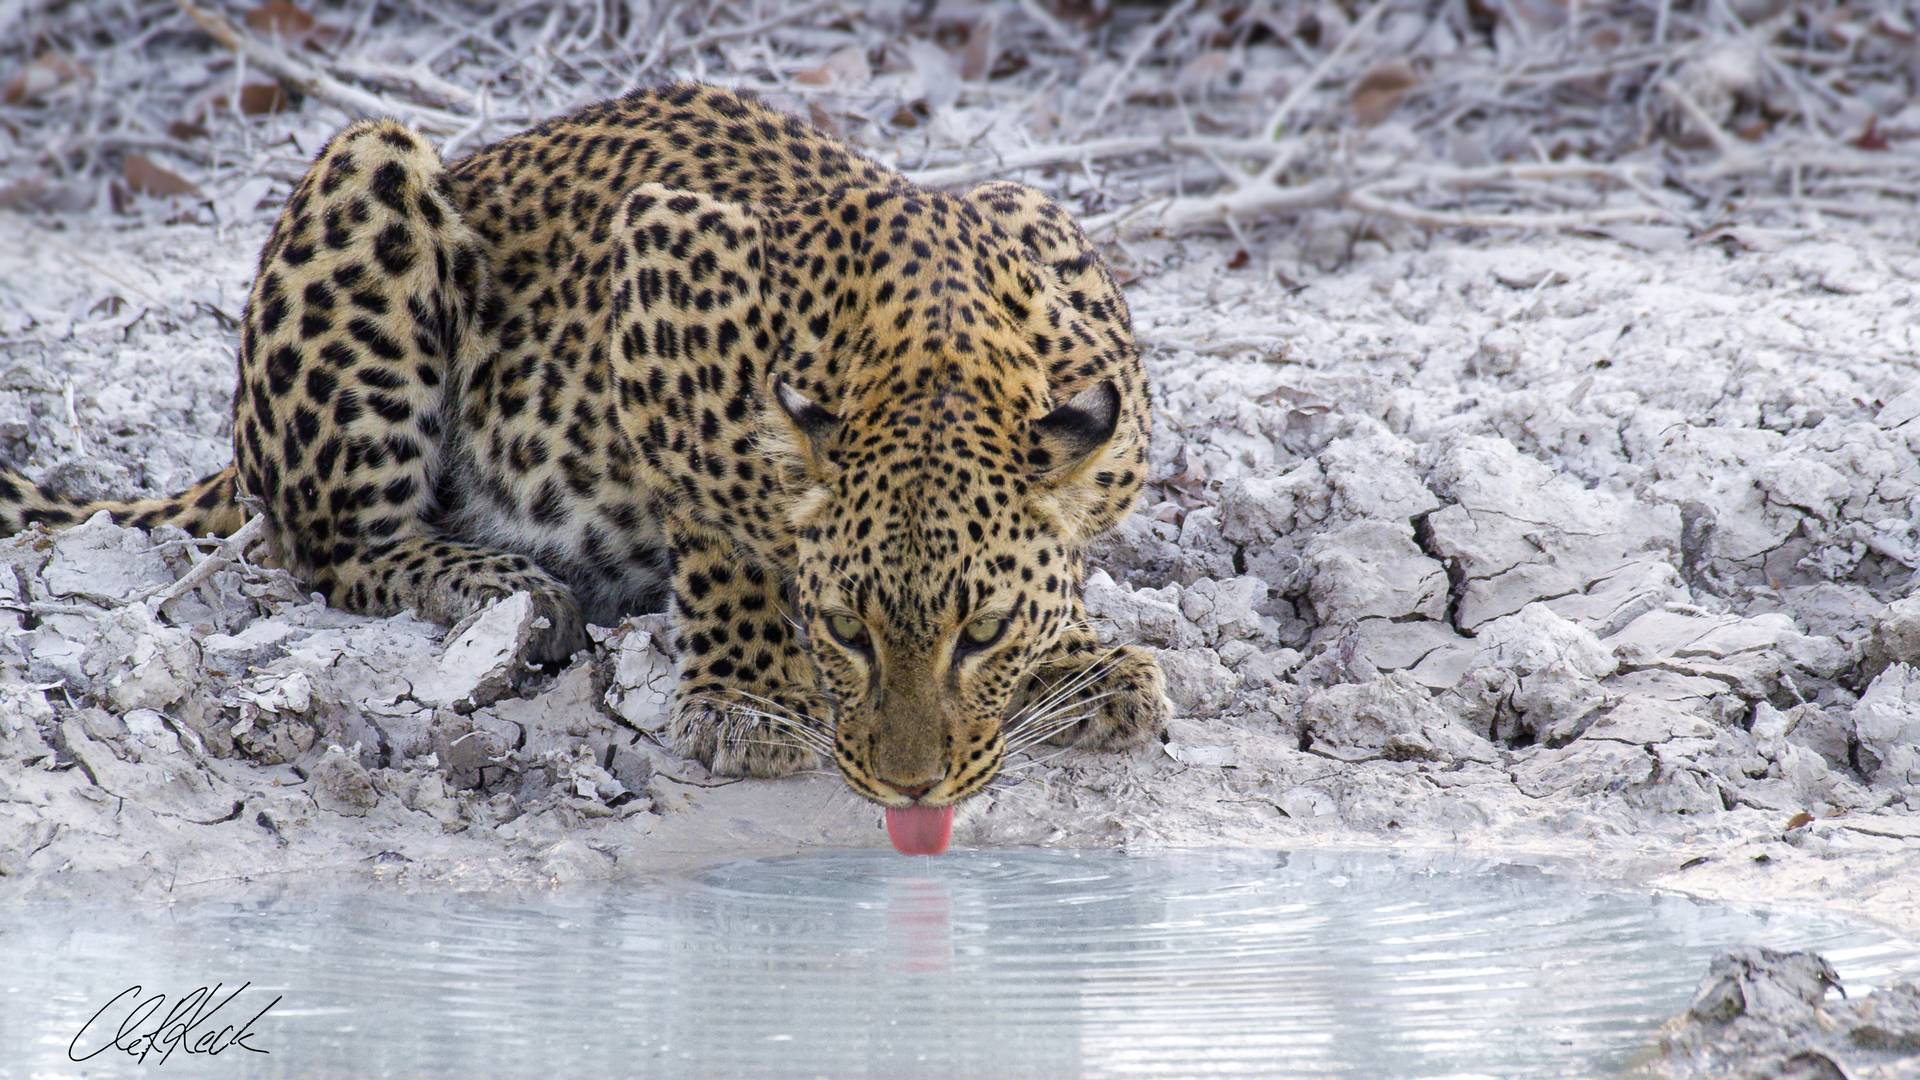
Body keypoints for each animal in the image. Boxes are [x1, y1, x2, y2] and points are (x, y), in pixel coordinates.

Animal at [3, 82, 1167, 807]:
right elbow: (721, 523)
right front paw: (749, 695)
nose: (909, 785)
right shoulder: (659, 263)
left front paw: (1077, 658)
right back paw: (503, 587)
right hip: (374, 166)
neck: (937, 362)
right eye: (847, 631)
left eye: (983, 632)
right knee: (326, 546)